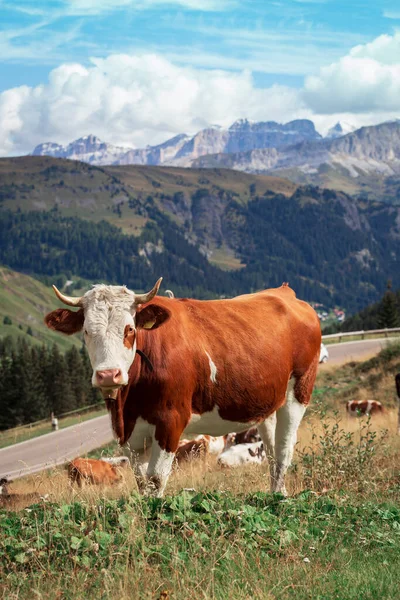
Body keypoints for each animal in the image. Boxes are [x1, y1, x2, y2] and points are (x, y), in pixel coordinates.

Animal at [46, 278, 322, 494]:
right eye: (86, 332)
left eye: (130, 329)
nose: (108, 375)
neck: (127, 406)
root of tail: (285, 292)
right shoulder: (131, 435)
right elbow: (141, 482)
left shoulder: (171, 421)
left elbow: (156, 479)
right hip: (268, 404)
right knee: (273, 451)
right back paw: (277, 493)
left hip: (299, 392)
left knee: (284, 450)